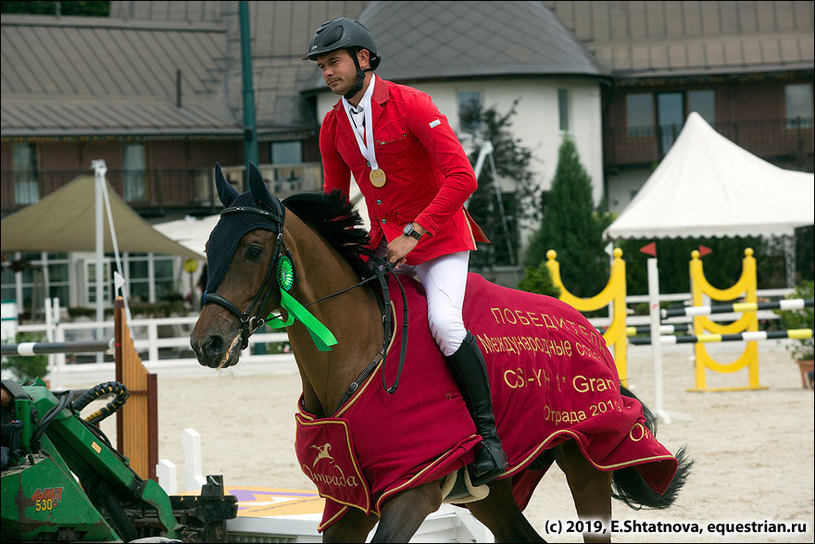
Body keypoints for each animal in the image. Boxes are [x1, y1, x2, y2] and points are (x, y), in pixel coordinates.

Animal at [193, 163, 696, 544]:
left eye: (253, 249)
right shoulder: (348, 504)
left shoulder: (412, 491)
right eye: (208, 246)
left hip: (587, 459)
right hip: (494, 493)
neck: (354, 354)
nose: (206, 343)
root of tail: (587, 329)